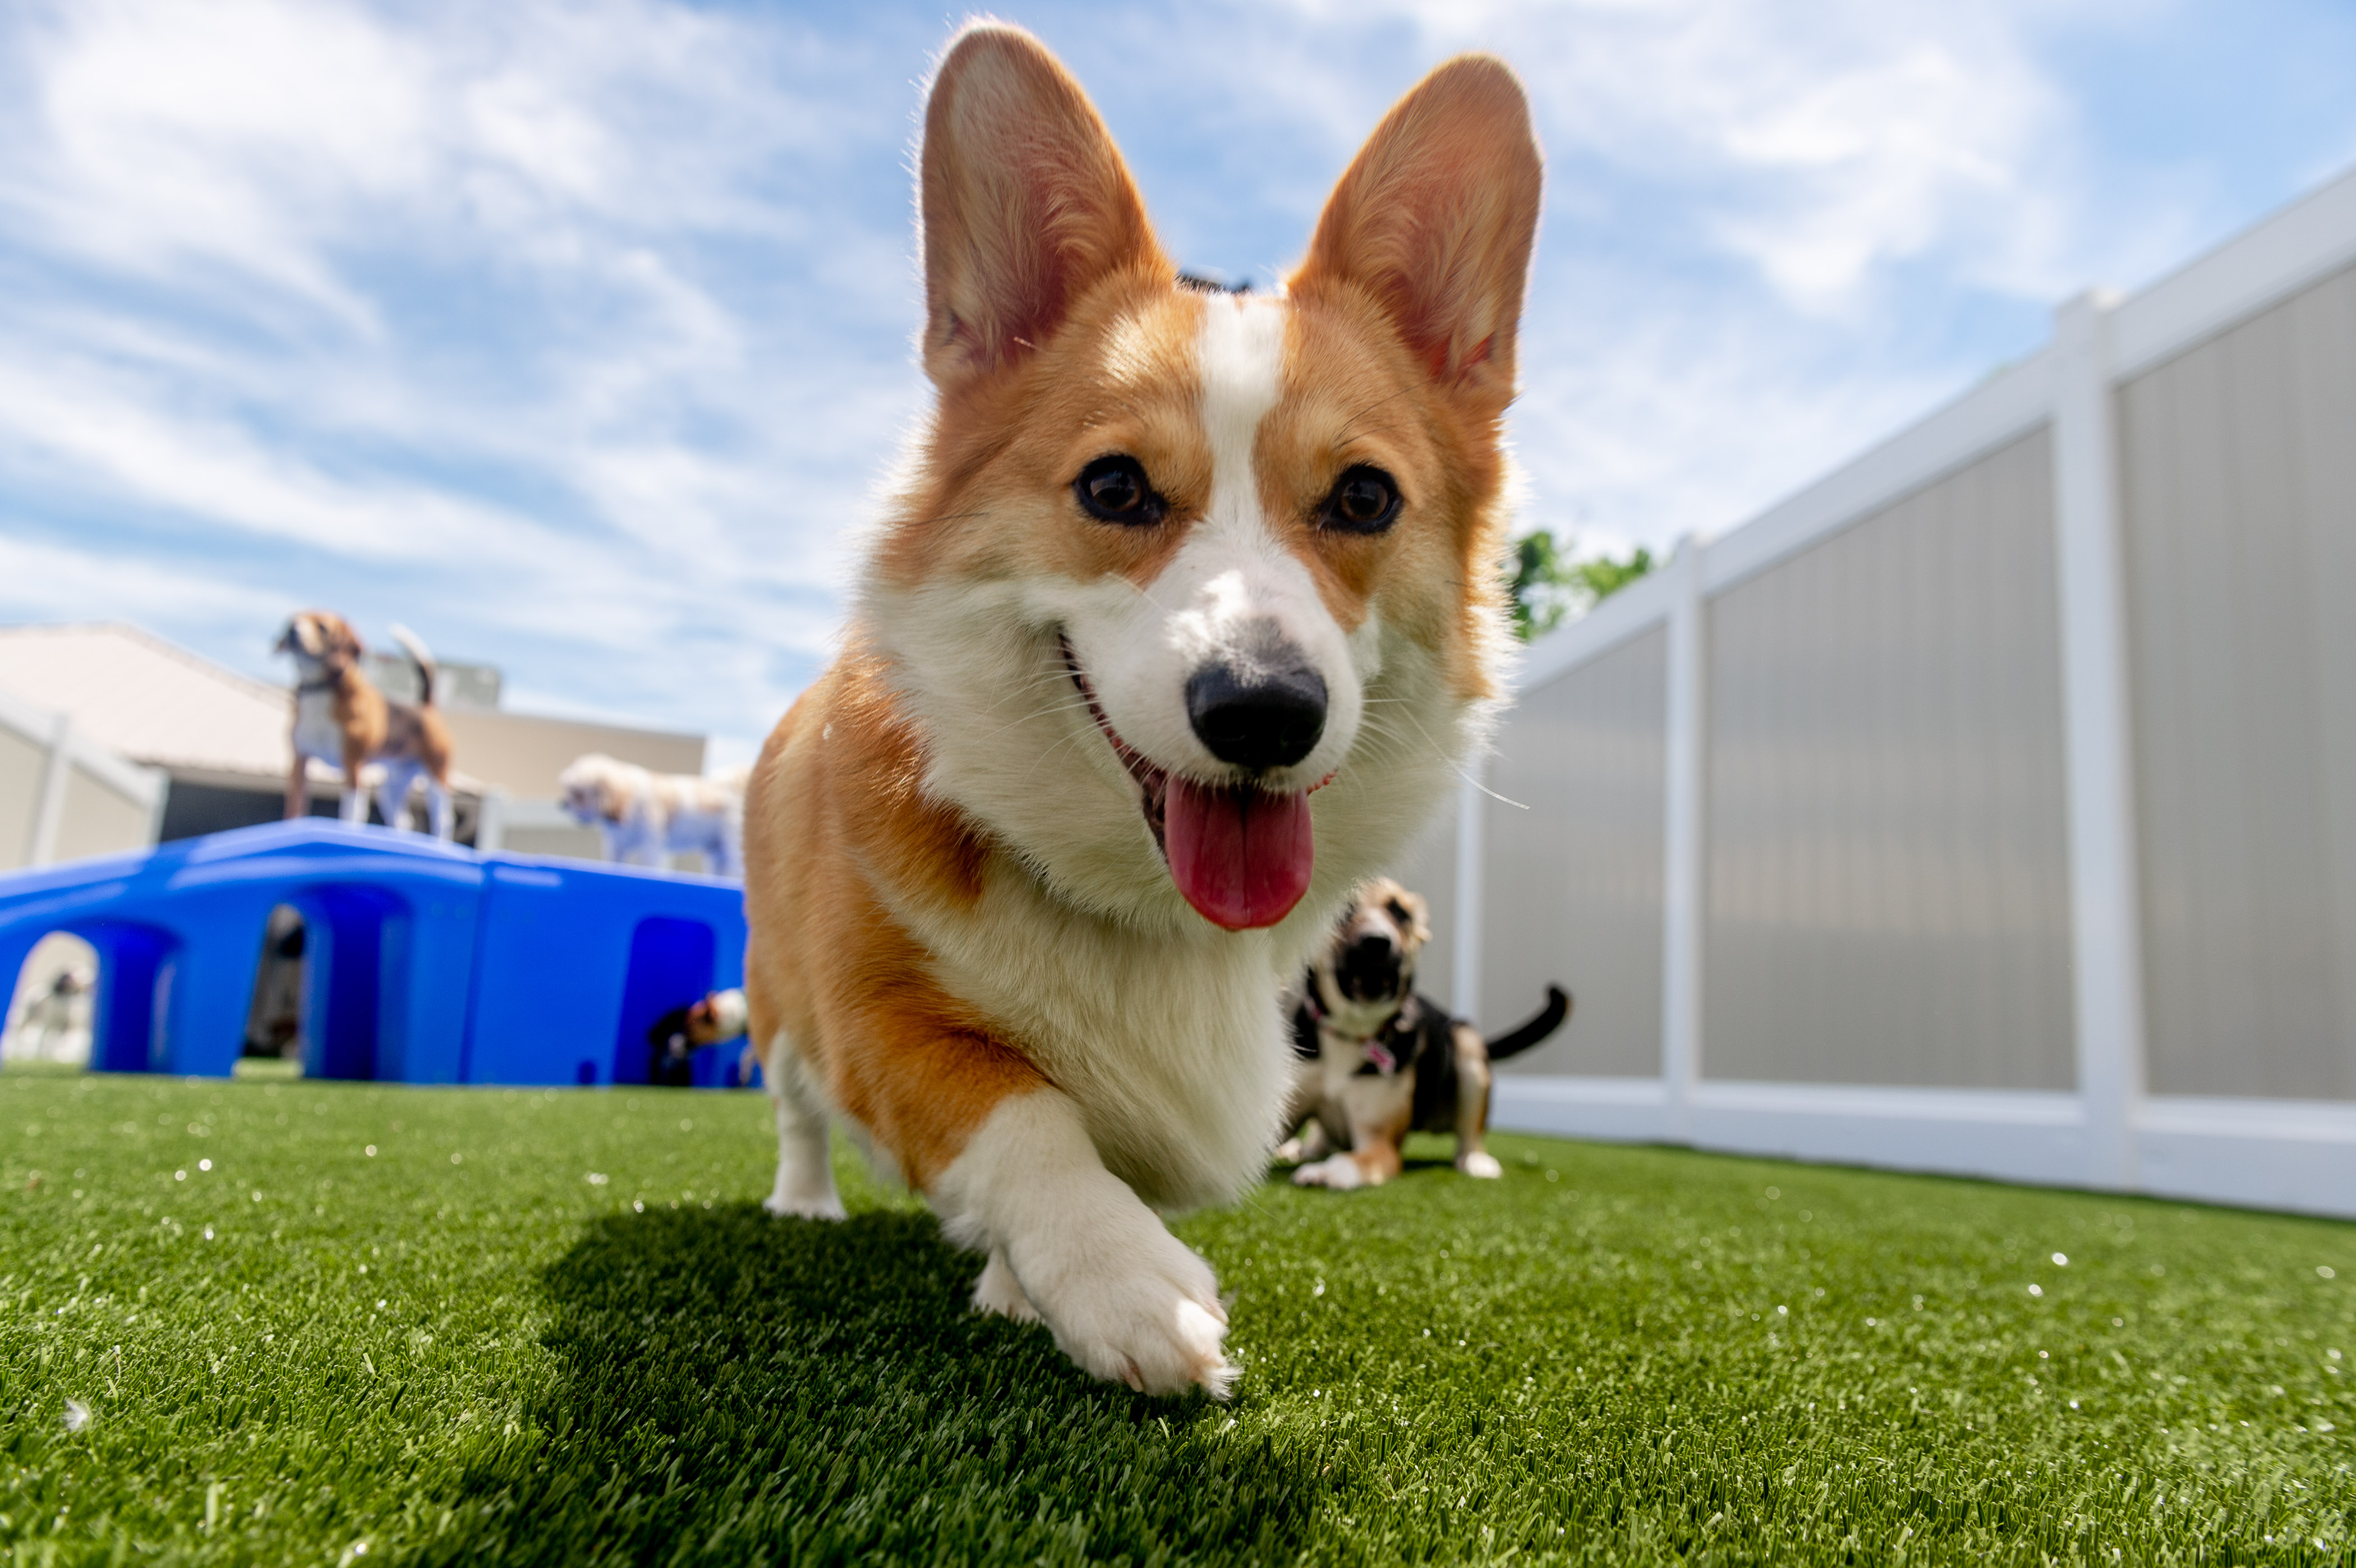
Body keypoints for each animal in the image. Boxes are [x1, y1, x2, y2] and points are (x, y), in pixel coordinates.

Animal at [274, 603, 454, 839]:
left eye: (322, 627)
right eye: (292, 622)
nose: (293, 632)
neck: (321, 689)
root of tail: (426, 707)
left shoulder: (354, 765)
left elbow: (349, 815)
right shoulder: (300, 762)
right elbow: (294, 810)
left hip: (436, 776)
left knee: (443, 821)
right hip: (393, 786)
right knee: (403, 820)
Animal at [553, 754, 744, 872]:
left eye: (579, 794)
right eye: (567, 789)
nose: (563, 804)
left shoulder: (650, 846)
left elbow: (648, 867)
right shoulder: (617, 846)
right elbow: (616, 865)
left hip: (733, 848)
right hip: (717, 855)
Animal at [739, 21, 1545, 1396]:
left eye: (1367, 498)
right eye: (1115, 487)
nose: (1266, 713)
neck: (1137, 902)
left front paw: (1027, 1286)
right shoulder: (877, 1019)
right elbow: (1026, 1116)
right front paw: (1126, 1287)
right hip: (779, 994)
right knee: (795, 1106)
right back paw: (805, 1202)